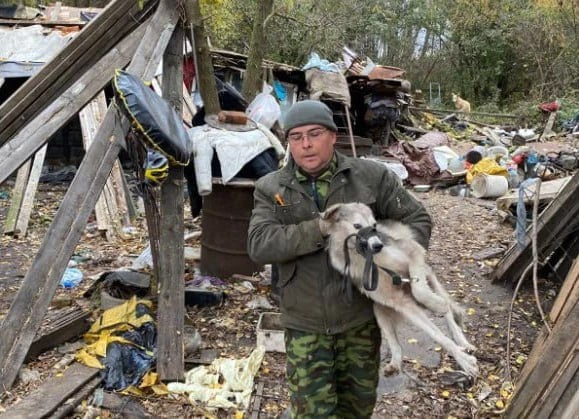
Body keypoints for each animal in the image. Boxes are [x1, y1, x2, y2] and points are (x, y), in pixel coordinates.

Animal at [320, 203, 478, 378]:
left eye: (374, 225)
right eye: (357, 225)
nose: (378, 245)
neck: (369, 260)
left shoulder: (413, 252)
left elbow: (420, 292)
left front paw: (464, 360)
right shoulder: (400, 302)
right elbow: (436, 334)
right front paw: (463, 359)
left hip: (429, 277)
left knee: (448, 311)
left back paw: (462, 340)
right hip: (379, 311)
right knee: (395, 343)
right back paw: (395, 363)